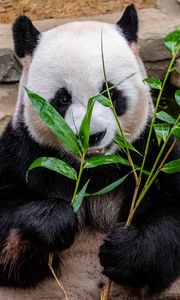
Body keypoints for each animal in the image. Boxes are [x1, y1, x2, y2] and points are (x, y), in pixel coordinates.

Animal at [0, 2, 180, 300]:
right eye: (62, 98)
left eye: (109, 92)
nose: (91, 136)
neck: (92, 170)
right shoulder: (25, 151)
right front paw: (56, 221)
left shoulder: (151, 150)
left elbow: (170, 209)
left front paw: (125, 252)